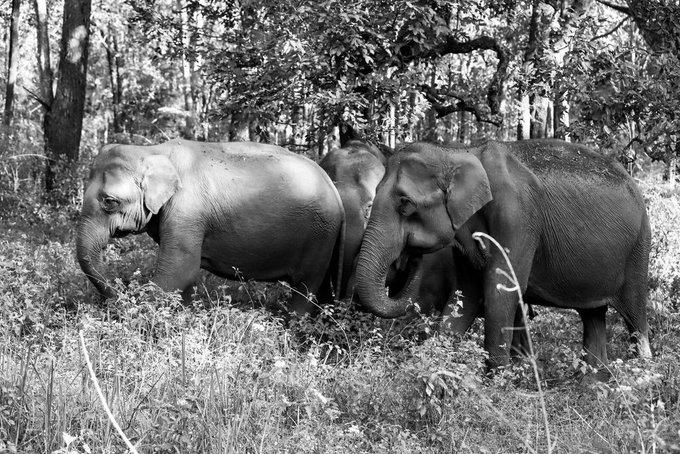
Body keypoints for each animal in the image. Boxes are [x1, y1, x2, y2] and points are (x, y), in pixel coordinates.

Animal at [76, 139, 344, 313]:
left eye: (109, 201)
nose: (119, 299)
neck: (154, 151)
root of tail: (334, 190)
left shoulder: (187, 210)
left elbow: (179, 270)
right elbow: (185, 275)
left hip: (319, 237)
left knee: (305, 288)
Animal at [354, 139, 652, 369]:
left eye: (405, 203)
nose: (410, 255)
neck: (460, 152)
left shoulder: (518, 217)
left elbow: (500, 292)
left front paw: (497, 384)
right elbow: (465, 295)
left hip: (638, 251)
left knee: (635, 318)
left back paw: (643, 376)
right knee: (593, 315)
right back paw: (594, 384)